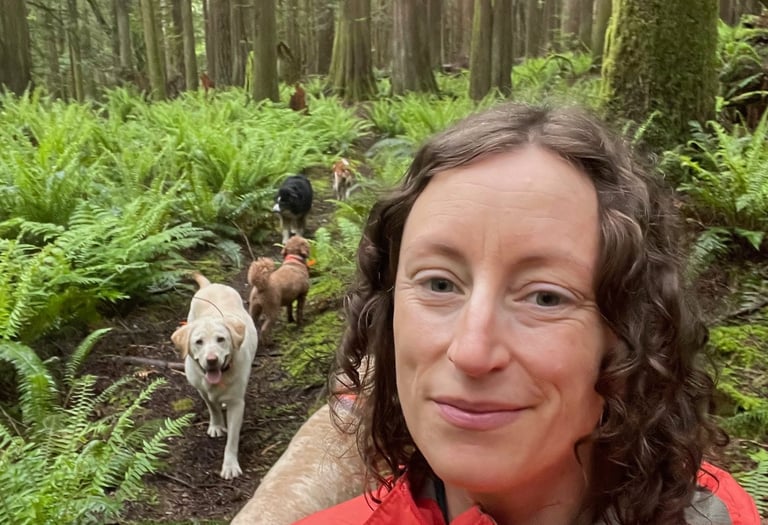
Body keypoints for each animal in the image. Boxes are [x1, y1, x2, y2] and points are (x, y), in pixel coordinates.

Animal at [171, 272, 258, 479]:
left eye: (221, 339)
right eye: (198, 342)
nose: (211, 360)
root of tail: (212, 285)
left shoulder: (237, 404)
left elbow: (232, 438)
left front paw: (230, 465)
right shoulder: (202, 389)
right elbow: (212, 407)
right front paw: (217, 425)